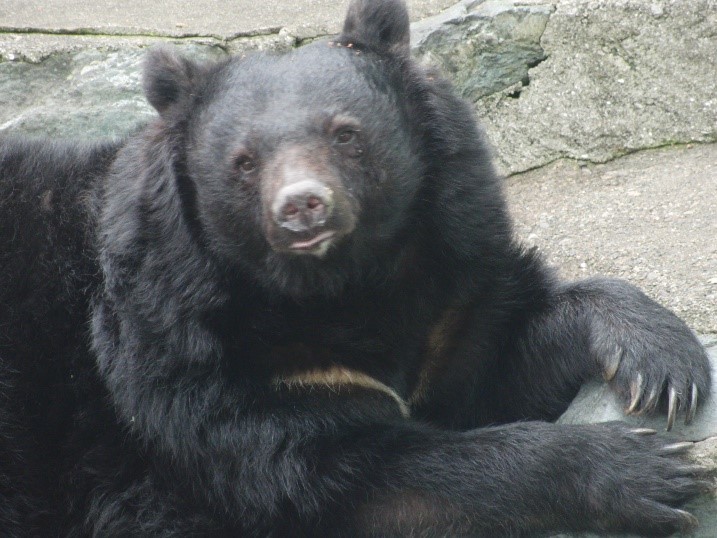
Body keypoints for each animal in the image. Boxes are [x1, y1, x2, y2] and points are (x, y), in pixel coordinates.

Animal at [0, 0, 712, 535]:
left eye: (344, 133)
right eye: (244, 161)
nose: (301, 206)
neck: (338, 288)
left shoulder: (447, 301)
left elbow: (490, 371)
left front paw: (663, 365)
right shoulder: (188, 368)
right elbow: (347, 481)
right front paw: (648, 469)